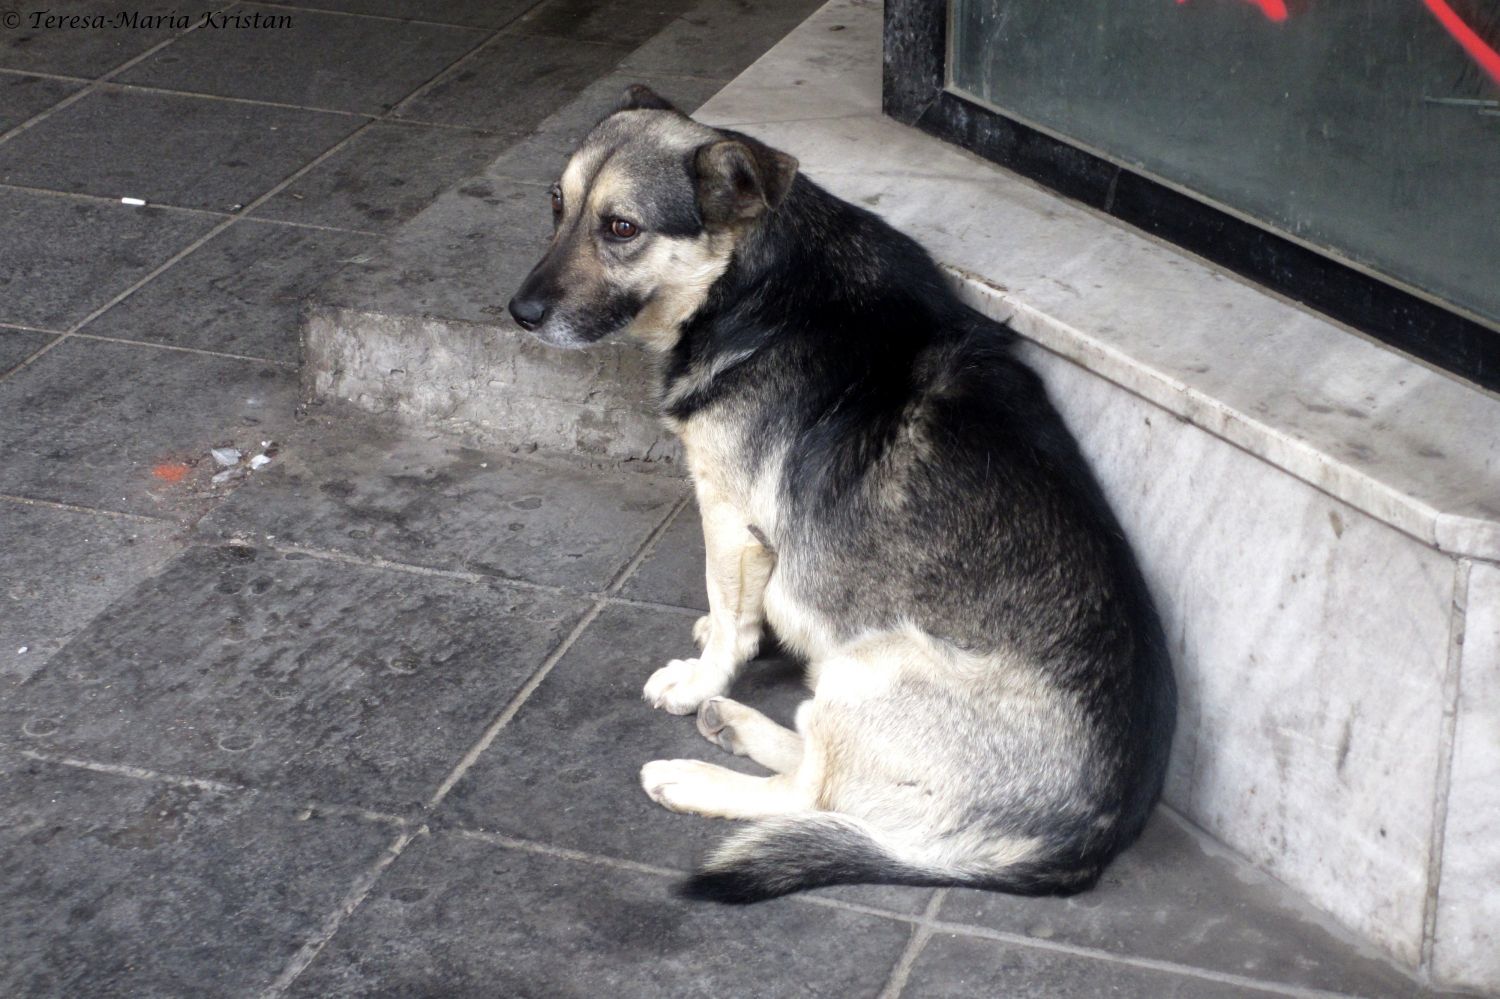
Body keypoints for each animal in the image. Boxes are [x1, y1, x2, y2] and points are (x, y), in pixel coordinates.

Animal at [510, 85, 1176, 900]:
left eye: (621, 228)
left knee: (810, 797)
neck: (753, 282)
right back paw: (737, 727)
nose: (518, 312)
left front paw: (700, 677)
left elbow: (730, 614)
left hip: (871, 667)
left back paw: (694, 774)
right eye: (557, 204)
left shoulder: (729, 516)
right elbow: (735, 611)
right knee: (820, 766)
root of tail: (1085, 847)